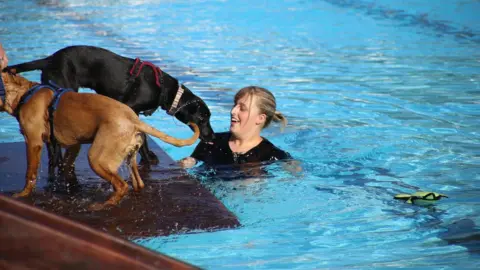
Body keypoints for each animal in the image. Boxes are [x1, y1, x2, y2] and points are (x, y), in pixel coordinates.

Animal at [0, 72, 199, 211]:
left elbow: (30, 174)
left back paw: (103, 205)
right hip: (129, 158)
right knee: (137, 183)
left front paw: (22, 195)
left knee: (121, 186)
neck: (24, 94)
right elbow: (65, 166)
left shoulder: (33, 142)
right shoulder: (73, 144)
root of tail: (134, 119)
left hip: (96, 158)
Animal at [4, 45, 215, 176]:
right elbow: (144, 135)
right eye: (203, 118)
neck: (166, 90)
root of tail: (49, 60)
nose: (212, 137)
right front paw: (148, 157)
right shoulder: (131, 108)